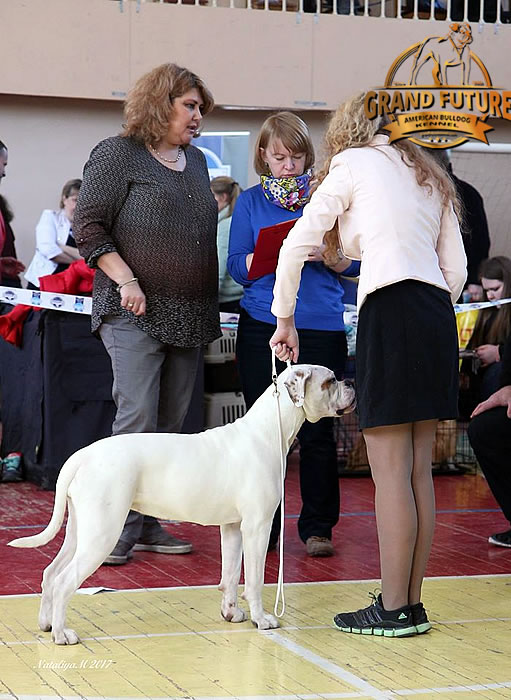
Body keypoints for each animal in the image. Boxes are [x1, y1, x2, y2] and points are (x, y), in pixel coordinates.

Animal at [11, 366, 356, 644]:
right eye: (329, 381)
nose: (350, 381)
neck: (269, 430)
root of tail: (83, 455)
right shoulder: (257, 528)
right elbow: (255, 580)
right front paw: (262, 620)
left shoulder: (233, 528)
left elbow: (231, 576)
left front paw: (232, 614)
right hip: (102, 534)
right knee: (64, 583)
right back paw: (61, 634)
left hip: (81, 530)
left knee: (51, 574)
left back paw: (46, 624)